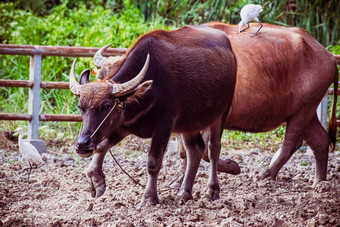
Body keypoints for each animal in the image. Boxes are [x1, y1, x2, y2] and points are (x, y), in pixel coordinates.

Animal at [68, 25, 236, 207]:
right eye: (80, 107)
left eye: (105, 106)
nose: (82, 144)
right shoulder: (123, 125)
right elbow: (101, 147)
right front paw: (97, 181)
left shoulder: (164, 126)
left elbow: (153, 163)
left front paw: (149, 199)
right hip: (188, 123)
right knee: (195, 150)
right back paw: (184, 192)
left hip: (221, 113)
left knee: (213, 148)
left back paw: (212, 190)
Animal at [175, 21, 338, 188]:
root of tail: (327, 56)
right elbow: (185, 150)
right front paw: (178, 181)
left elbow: (206, 149)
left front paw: (234, 166)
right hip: (306, 111)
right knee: (320, 140)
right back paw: (319, 183)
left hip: (304, 109)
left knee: (292, 143)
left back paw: (266, 175)